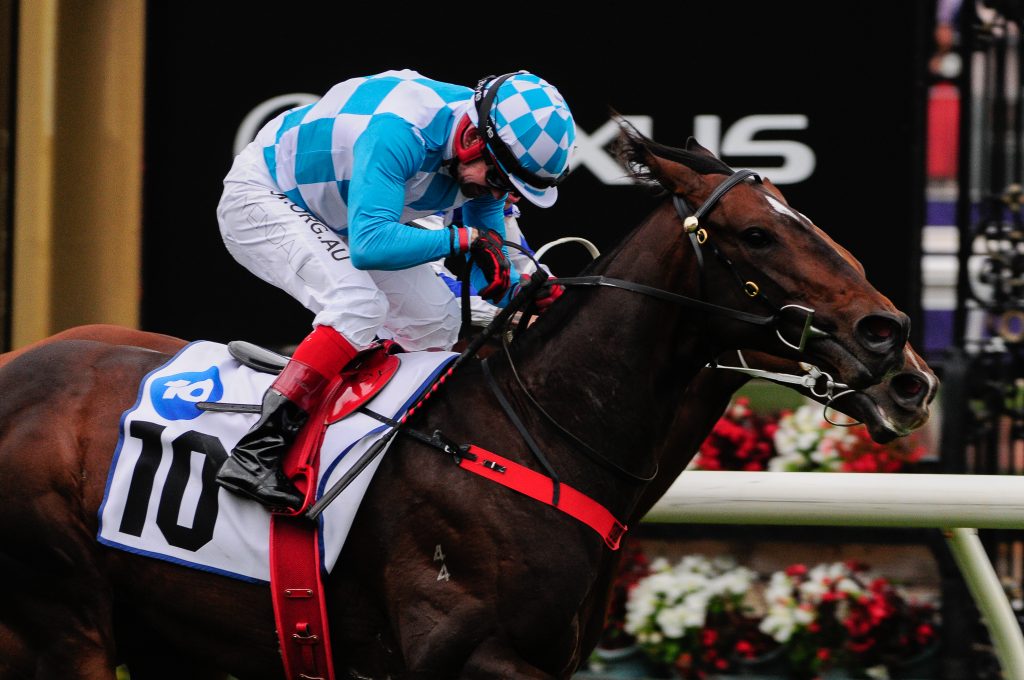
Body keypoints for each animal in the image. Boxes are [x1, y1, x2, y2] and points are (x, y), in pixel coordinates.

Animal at [0, 126, 919, 678]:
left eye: (805, 218)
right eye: (757, 235)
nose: (897, 346)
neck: (538, 432)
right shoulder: (463, 653)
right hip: (64, 620)